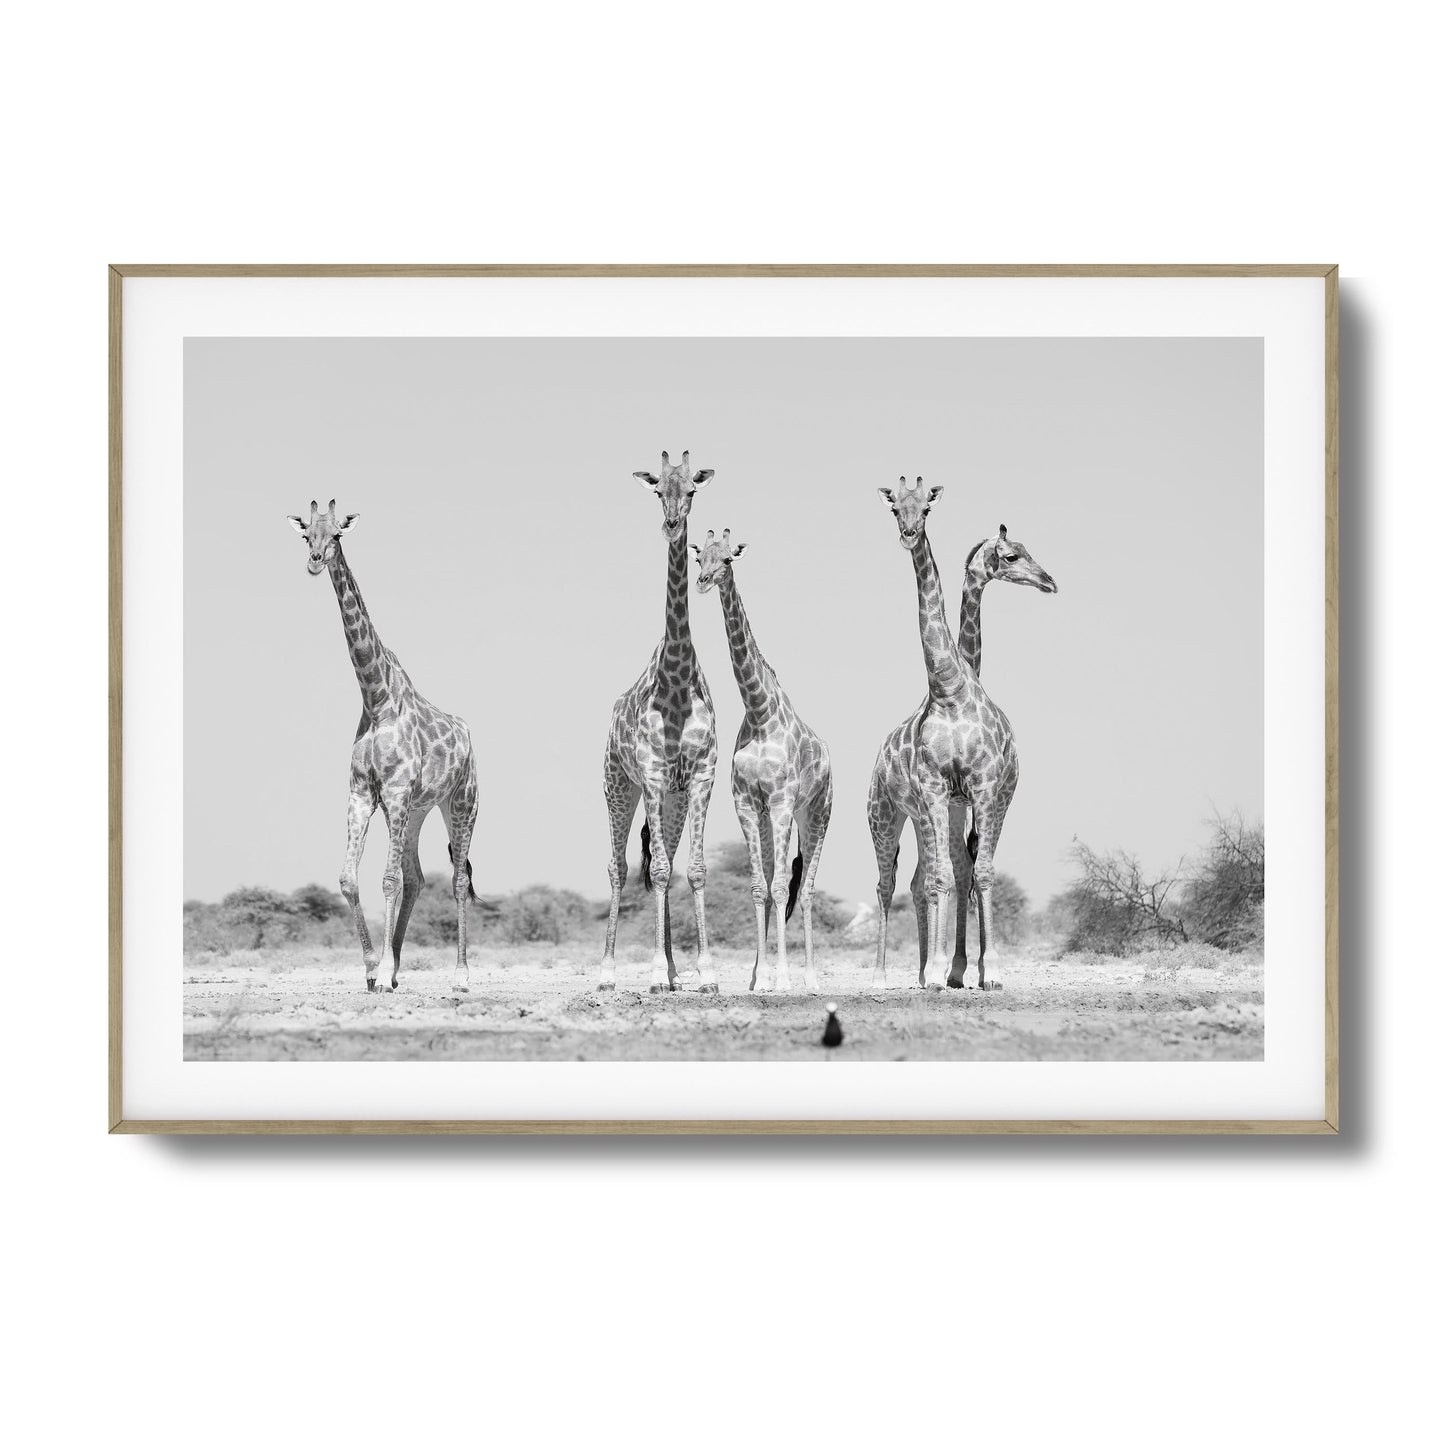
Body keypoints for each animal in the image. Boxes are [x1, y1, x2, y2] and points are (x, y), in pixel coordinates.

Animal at [286, 500, 481, 994]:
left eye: (337, 534)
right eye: (307, 534)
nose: (314, 561)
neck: (376, 700)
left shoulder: (393, 793)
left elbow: (388, 880)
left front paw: (384, 967)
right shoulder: (362, 793)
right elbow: (349, 879)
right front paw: (375, 968)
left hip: (461, 803)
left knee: (456, 878)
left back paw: (461, 976)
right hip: (418, 811)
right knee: (418, 877)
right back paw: (395, 971)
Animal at [693, 529, 834, 993]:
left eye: (727, 559)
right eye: (699, 557)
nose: (702, 581)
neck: (758, 711)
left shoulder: (782, 801)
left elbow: (780, 888)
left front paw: (784, 979)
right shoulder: (746, 802)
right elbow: (759, 886)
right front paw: (758, 978)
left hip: (816, 815)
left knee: (805, 889)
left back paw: (810, 978)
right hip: (778, 816)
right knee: (780, 882)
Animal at [902, 523, 1058, 979]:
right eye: (1011, 556)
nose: (1049, 581)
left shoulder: (981, 792)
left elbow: (976, 871)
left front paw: (979, 969)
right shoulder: (948, 796)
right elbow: (955, 873)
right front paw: (952, 968)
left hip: (996, 798)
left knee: (971, 870)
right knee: (949, 873)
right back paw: (944, 968)